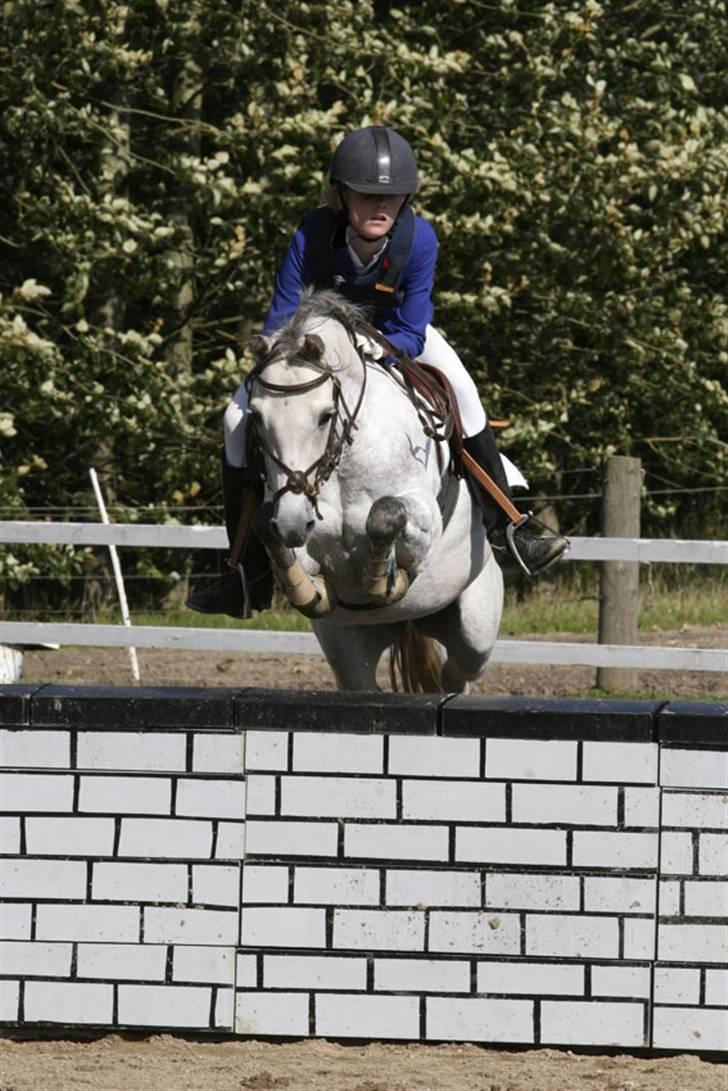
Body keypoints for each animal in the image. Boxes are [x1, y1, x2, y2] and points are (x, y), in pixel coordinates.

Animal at [246, 290, 503, 692]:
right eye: (256, 417)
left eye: (325, 415)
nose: (292, 525)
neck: (342, 462)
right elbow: (267, 528)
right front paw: (311, 591)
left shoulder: (422, 523)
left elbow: (385, 514)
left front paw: (383, 579)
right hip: (348, 646)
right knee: (364, 681)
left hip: (475, 624)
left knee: (457, 673)